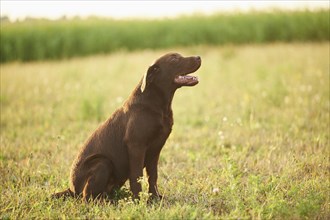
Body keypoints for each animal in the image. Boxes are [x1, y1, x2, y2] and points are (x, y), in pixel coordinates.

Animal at [52, 52, 201, 200]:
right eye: (174, 59)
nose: (199, 57)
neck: (157, 105)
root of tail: (71, 189)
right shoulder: (136, 146)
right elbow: (136, 176)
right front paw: (138, 200)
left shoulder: (155, 150)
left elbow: (152, 176)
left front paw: (155, 197)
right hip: (102, 162)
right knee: (87, 197)